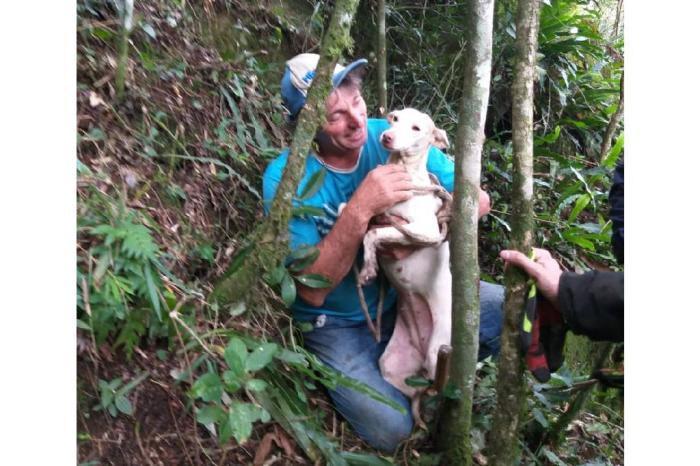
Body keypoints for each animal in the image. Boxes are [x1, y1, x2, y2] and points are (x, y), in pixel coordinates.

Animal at [360, 107, 454, 424]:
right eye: (395, 119)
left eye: (416, 128)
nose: (387, 137)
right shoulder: (373, 213)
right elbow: (363, 228)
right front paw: (367, 262)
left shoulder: (425, 230)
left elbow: (374, 234)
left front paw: (369, 266)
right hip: (390, 365)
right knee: (415, 394)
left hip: (439, 351)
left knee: (439, 387)